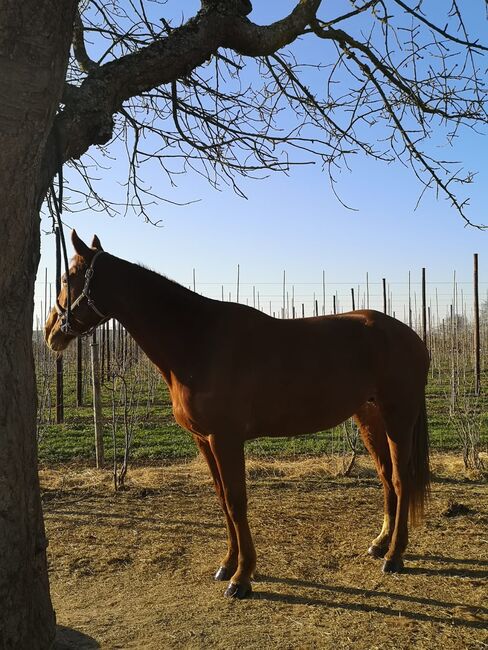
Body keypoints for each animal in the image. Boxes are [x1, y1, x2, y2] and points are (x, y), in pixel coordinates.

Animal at [43, 232, 428, 596]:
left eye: (68, 276)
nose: (50, 332)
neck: (198, 341)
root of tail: (412, 336)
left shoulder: (225, 439)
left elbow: (236, 500)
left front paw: (242, 577)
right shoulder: (204, 439)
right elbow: (222, 500)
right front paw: (227, 565)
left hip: (398, 417)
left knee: (400, 479)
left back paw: (395, 556)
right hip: (369, 419)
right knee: (386, 477)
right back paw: (380, 544)